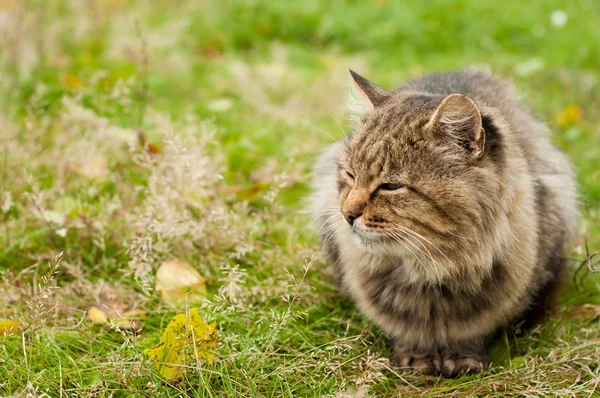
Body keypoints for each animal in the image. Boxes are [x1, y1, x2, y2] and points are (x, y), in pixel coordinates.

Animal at [310, 67, 576, 376]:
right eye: (350, 175)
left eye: (390, 186)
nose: (347, 214)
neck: (431, 271)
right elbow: (407, 331)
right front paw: (417, 357)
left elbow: (472, 332)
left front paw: (462, 358)